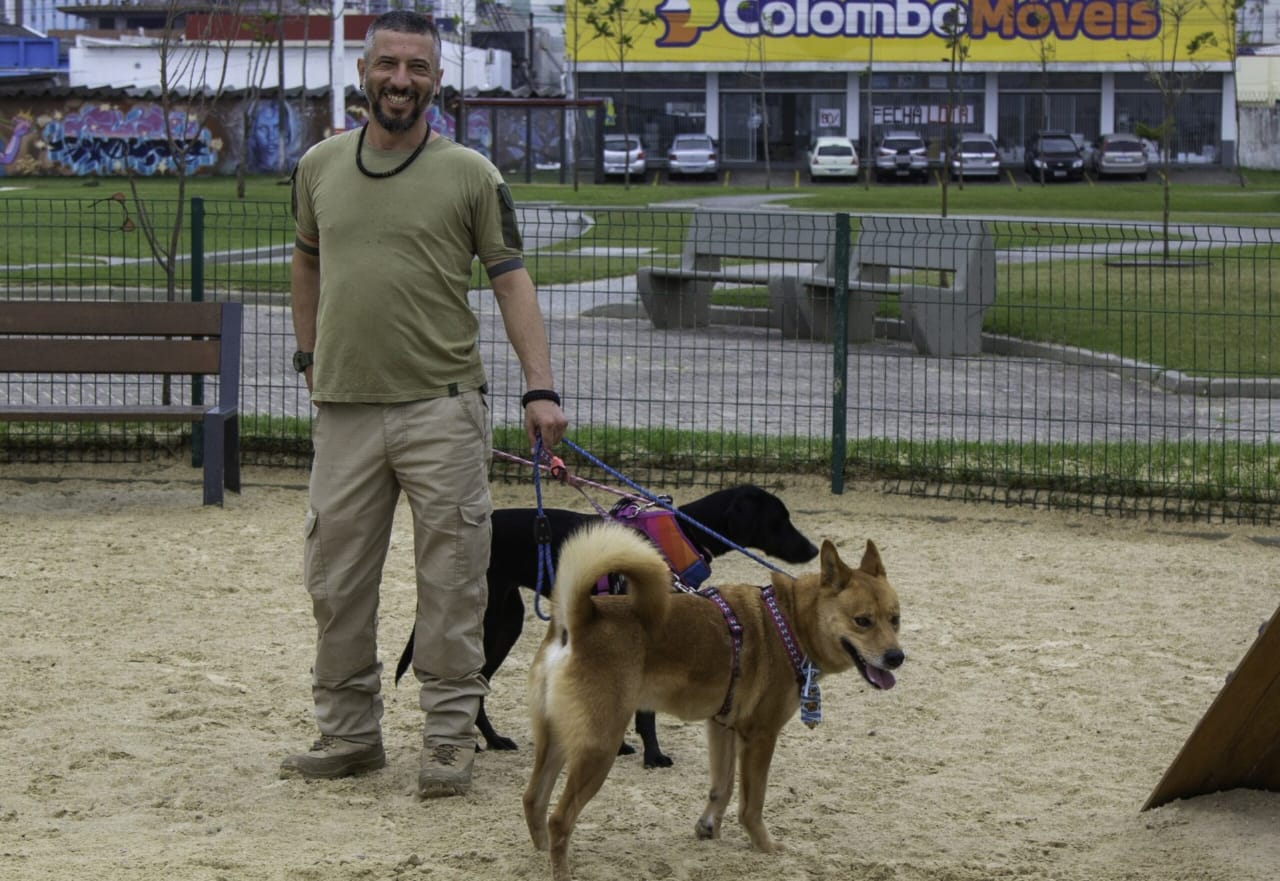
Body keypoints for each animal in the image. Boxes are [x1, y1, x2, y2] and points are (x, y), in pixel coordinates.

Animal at [391, 484, 819, 768]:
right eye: (779, 520)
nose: (815, 549)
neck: (682, 533)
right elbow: (643, 711)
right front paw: (652, 755)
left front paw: (624, 747)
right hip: (488, 619)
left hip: (508, 622)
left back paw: (492, 740)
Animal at [519, 519, 901, 875]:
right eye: (863, 621)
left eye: (895, 619)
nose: (897, 657)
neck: (790, 620)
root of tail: (578, 620)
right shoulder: (759, 737)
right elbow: (752, 803)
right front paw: (764, 846)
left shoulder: (722, 728)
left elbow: (723, 787)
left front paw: (708, 829)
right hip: (599, 747)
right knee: (559, 818)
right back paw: (561, 870)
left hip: (557, 740)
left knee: (533, 800)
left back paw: (540, 856)